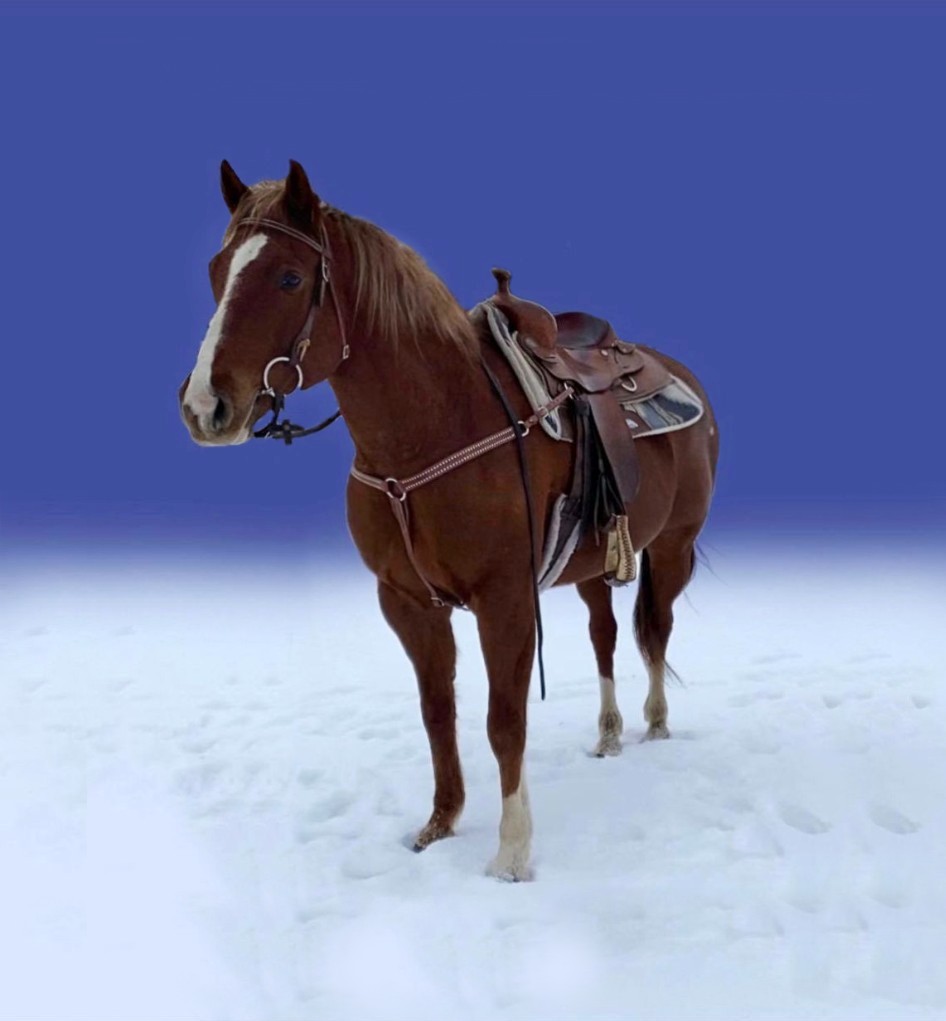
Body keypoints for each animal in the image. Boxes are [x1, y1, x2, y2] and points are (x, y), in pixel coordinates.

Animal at [179, 160, 719, 881]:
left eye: (289, 277)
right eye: (217, 270)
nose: (204, 405)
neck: (435, 428)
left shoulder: (505, 599)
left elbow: (504, 720)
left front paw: (512, 851)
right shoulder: (407, 602)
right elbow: (438, 710)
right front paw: (439, 823)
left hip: (674, 547)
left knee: (655, 631)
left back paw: (656, 721)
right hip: (593, 565)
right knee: (605, 634)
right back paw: (608, 734)